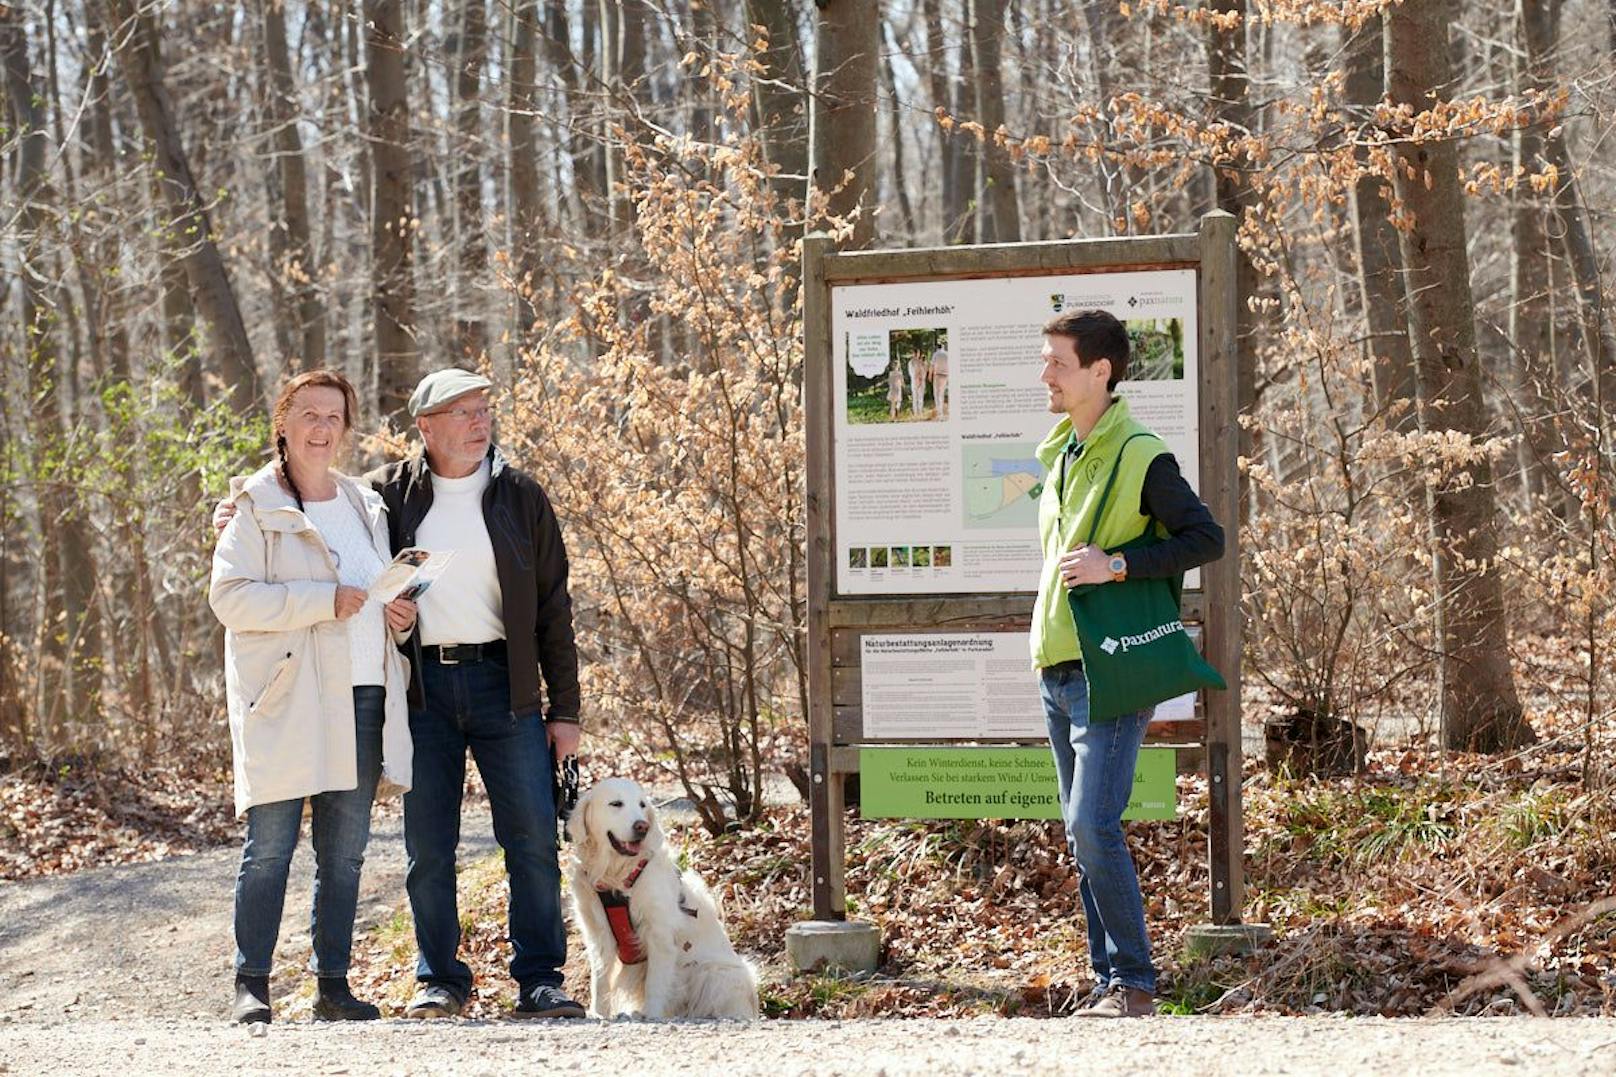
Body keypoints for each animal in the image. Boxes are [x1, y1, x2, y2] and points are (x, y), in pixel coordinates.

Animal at [565, 779, 759, 1015]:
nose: (642, 826)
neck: (617, 876)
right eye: (616, 804)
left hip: (717, 972)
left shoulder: (659, 934)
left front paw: (651, 1014)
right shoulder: (597, 932)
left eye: (642, 805)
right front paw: (598, 1013)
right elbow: (600, 981)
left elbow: (655, 983)